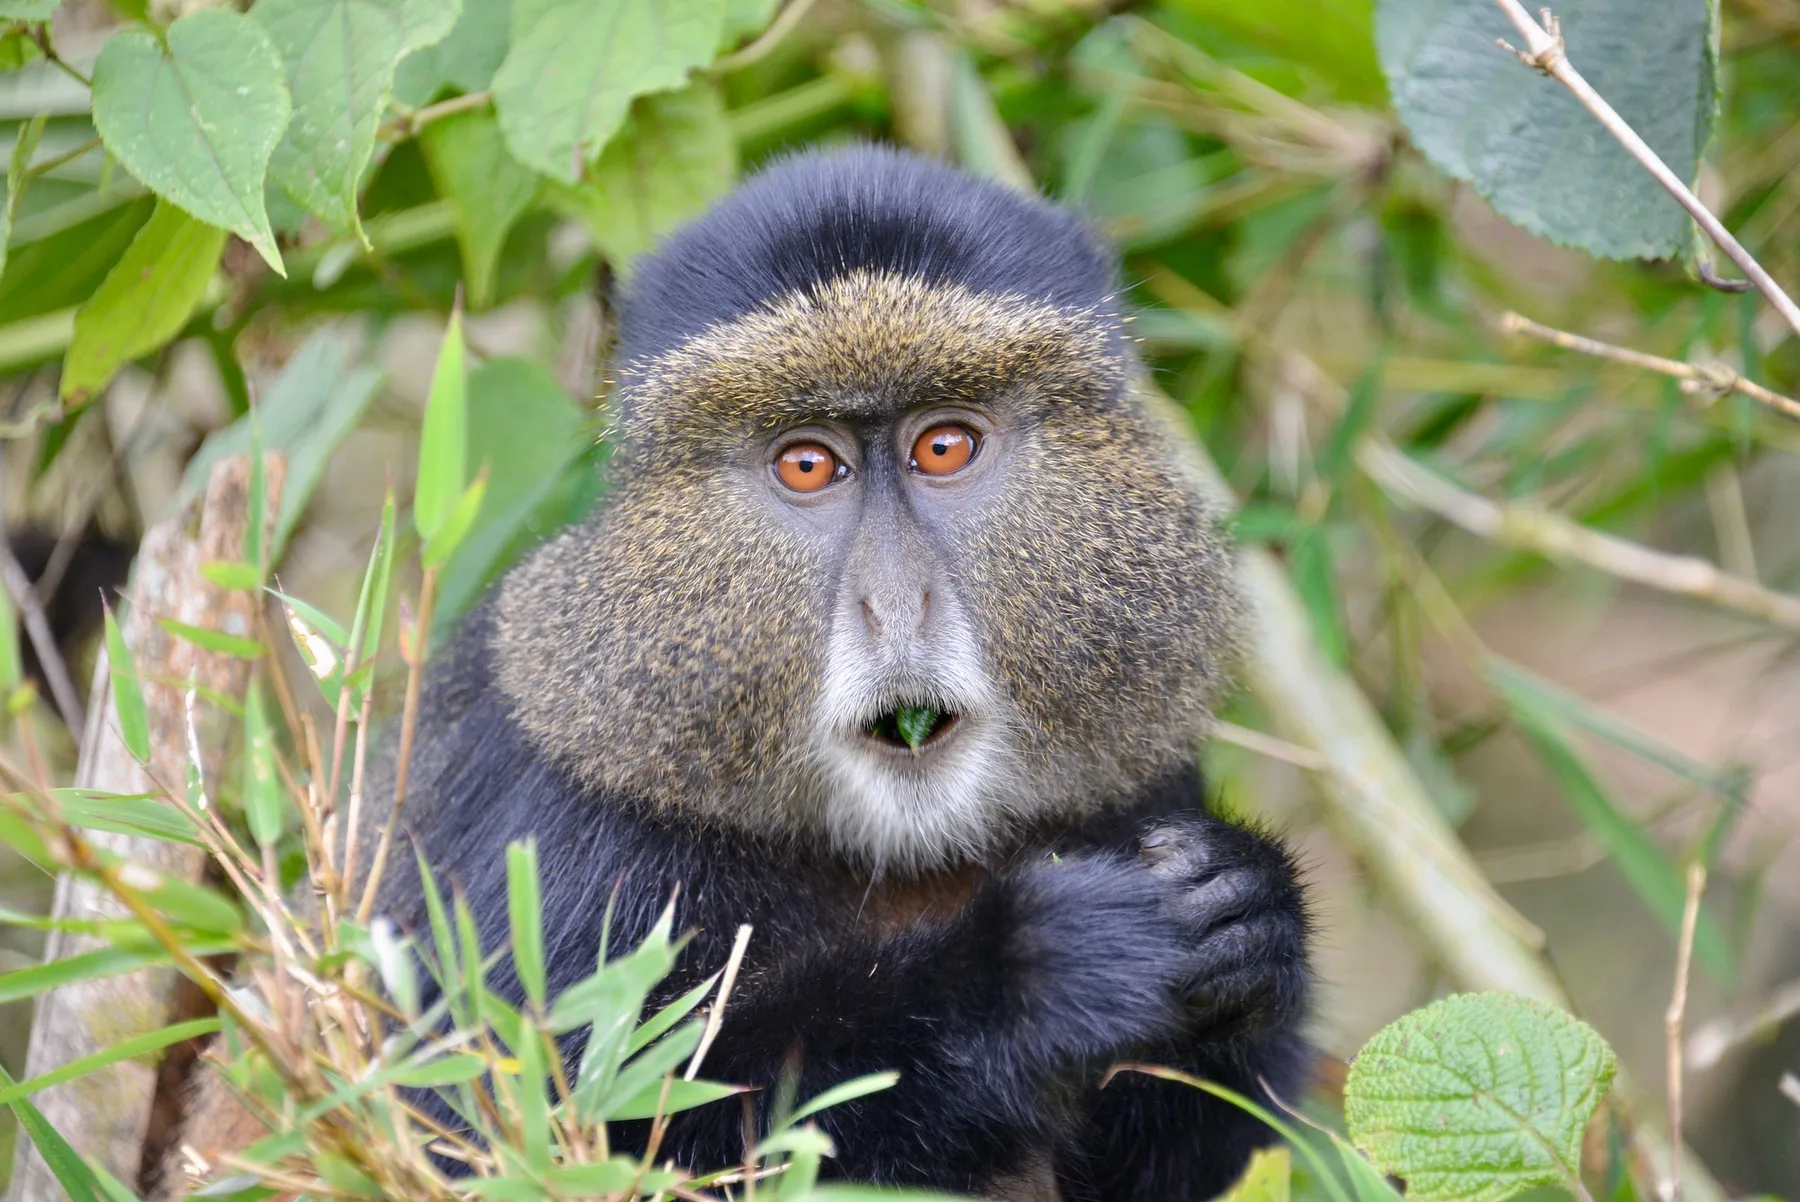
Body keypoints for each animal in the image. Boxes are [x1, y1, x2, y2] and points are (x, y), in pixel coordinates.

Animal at [167, 144, 1312, 1201]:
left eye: (943, 446)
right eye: (807, 464)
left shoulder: (1141, 780)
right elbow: (524, 1138)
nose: (895, 605)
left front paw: (1249, 912)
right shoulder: (561, 838)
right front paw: (1031, 972)